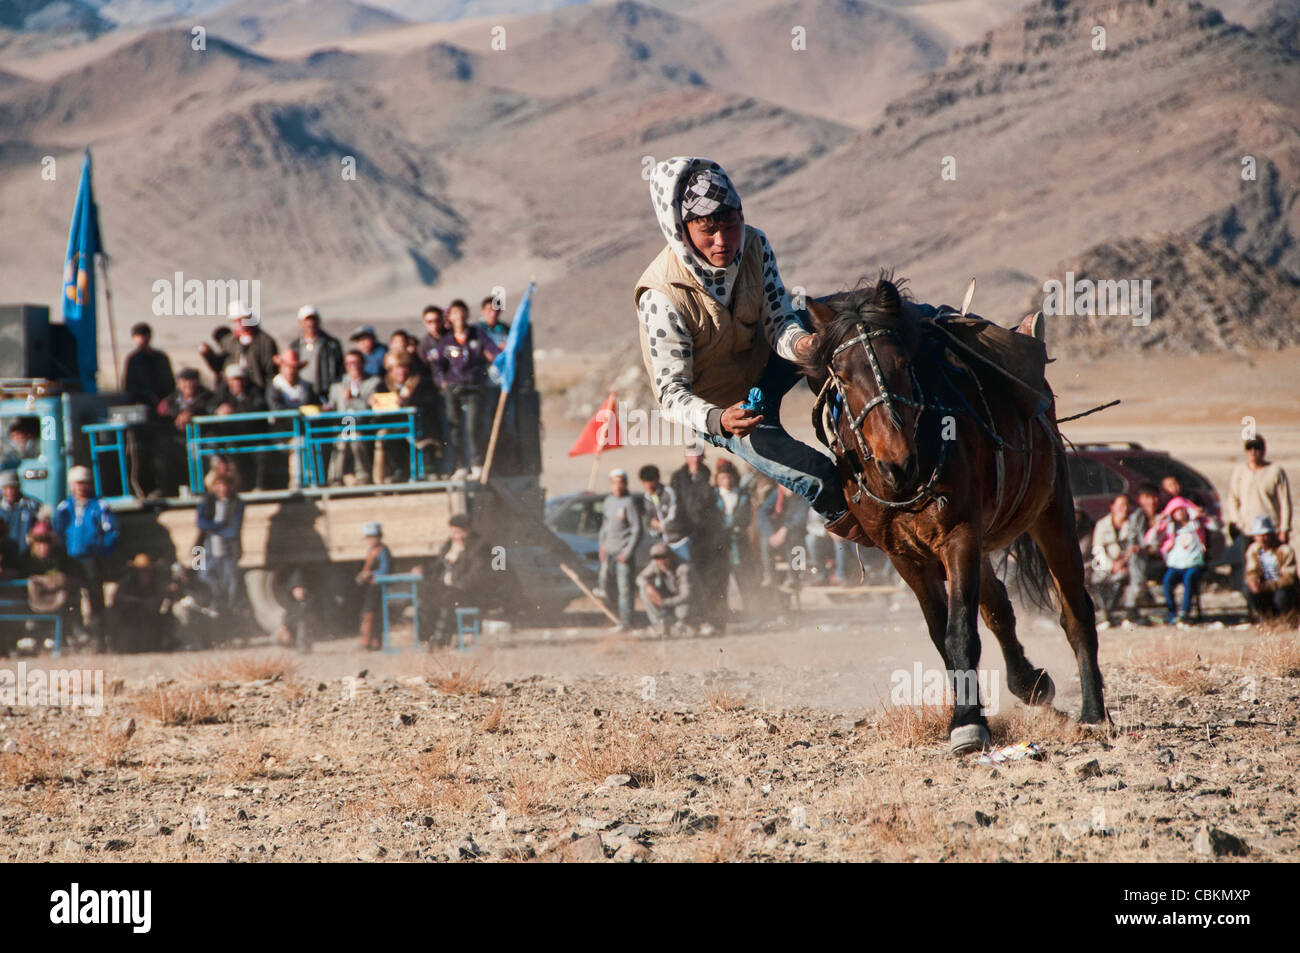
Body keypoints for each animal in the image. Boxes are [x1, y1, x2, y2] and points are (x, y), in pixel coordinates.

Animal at [800, 273, 1107, 748]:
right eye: (844, 380)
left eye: (902, 364)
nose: (897, 463)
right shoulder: (904, 558)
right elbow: (944, 633)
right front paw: (972, 710)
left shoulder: (959, 535)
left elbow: (960, 631)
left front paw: (967, 723)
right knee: (999, 607)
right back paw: (1029, 683)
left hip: (1052, 515)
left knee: (1075, 612)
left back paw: (1092, 712)